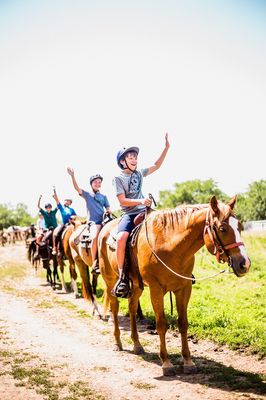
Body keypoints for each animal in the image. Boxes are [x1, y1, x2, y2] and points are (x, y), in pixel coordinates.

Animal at [98, 195, 251, 376]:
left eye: (240, 227)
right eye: (222, 228)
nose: (244, 264)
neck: (170, 245)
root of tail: (104, 230)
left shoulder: (183, 289)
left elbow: (183, 323)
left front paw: (188, 361)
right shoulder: (156, 290)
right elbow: (161, 324)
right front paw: (166, 363)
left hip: (136, 285)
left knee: (132, 306)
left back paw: (137, 344)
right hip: (110, 280)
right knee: (114, 308)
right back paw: (117, 342)